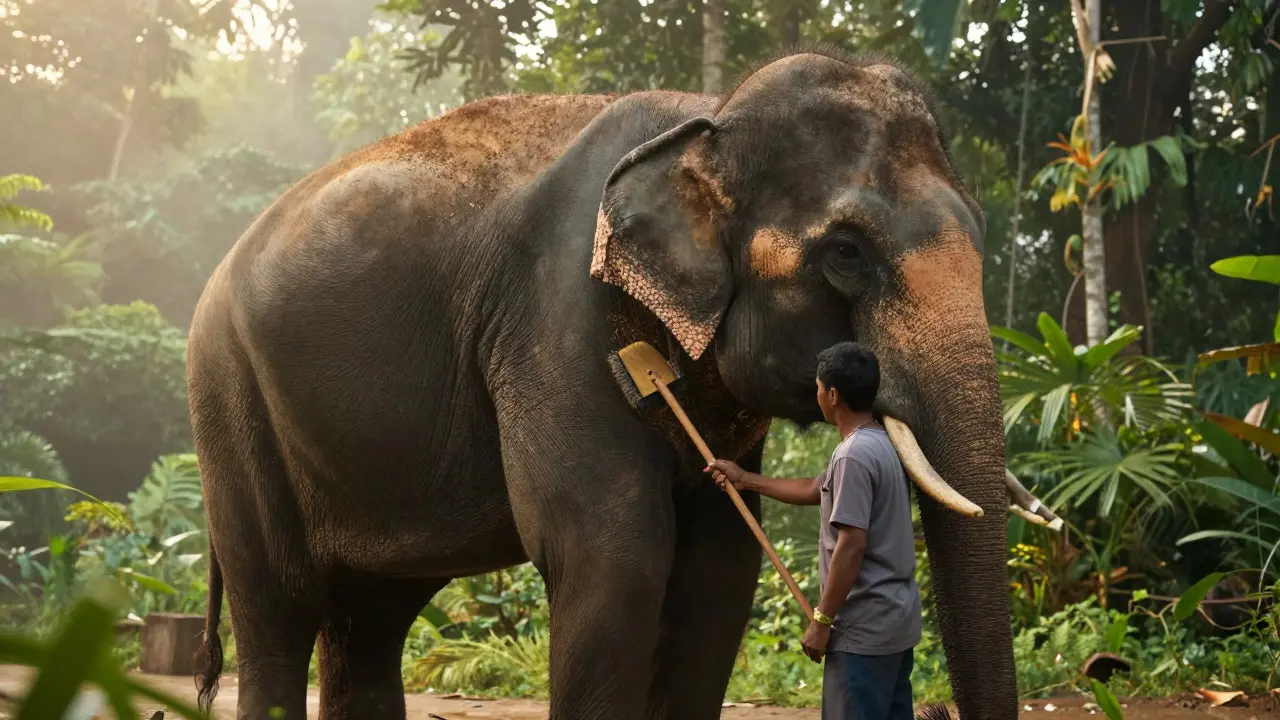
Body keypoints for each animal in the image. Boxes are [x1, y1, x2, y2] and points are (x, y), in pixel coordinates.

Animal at [187, 46, 1057, 720]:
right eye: (846, 252)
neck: (708, 119)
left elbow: (718, 569)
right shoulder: (557, 316)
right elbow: (611, 553)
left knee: (369, 620)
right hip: (228, 397)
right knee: (279, 611)